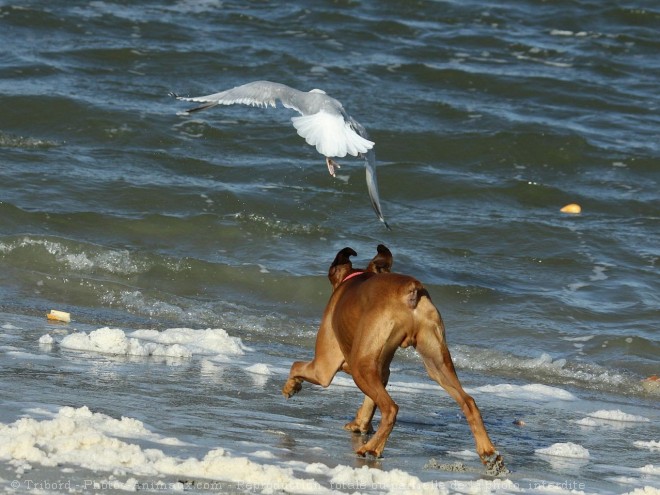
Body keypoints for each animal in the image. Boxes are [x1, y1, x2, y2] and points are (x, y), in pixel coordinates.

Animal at [282, 246, 506, 474]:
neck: (352, 279)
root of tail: (411, 288)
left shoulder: (324, 367)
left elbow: (296, 366)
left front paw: (292, 386)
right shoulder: (380, 369)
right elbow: (370, 402)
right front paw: (360, 423)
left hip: (360, 368)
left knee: (390, 409)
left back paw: (371, 449)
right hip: (437, 363)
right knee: (468, 402)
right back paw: (488, 453)